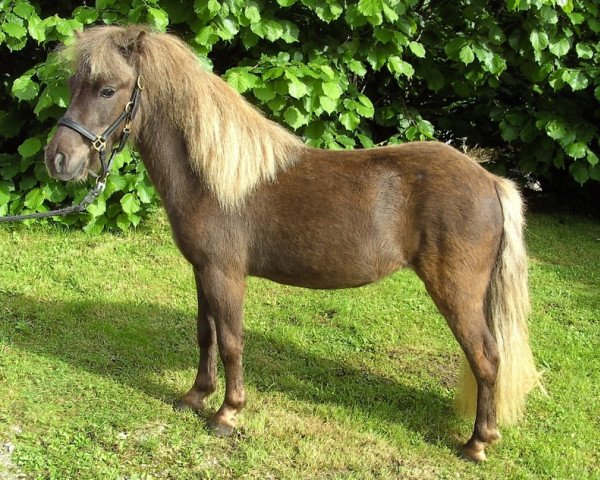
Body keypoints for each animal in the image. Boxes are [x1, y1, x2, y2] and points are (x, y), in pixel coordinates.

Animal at [43, 25, 540, 462]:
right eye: (73, 85)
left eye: (107, 90)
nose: (59, 159)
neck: (217, 179)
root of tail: (490, 181)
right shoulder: (203, 271)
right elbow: (206, 334)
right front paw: (195, 396)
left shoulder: (225, 274)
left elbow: (231, 341)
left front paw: (227, 414)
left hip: (456, 291)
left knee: (487, 358)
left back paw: (476, 444)